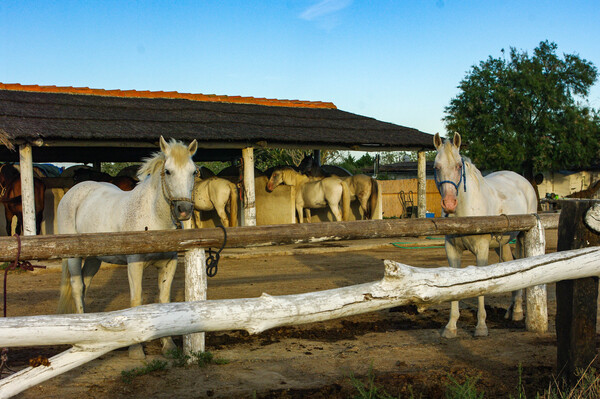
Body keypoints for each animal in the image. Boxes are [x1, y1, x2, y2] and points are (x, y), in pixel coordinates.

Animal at [56, 137, 198, 360]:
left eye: (194, 172)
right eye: (168, 171)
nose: (184, 210)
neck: (152, 216)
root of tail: (74, 191)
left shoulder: (169, 264)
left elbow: (164, 300)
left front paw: (168, 345)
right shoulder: (135, 265)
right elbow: (136, 301)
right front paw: (136, 350)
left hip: (95, 258)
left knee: (85, 284)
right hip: (73, 256)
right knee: (77, 286)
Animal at [434, 133, 536, 340]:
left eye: (458, 165)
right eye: (436, 167)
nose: (449, 204)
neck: (465, 214)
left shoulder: (481, 250)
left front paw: (481, 327)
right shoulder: (452, 251)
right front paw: (450, 327)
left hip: (523, 236)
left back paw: (518, 312)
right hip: (500, 244)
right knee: (510, 262)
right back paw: (510, 310)